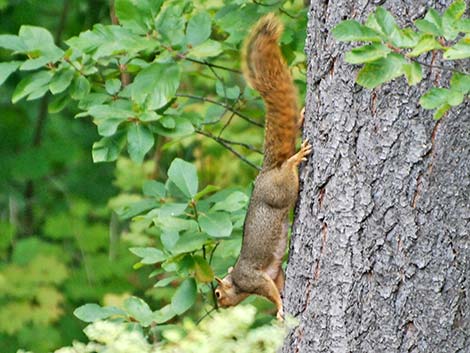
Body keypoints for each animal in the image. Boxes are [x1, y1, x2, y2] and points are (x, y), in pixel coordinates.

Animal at [214, 13, 310, 320]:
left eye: (217, 293)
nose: (218, 307)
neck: (237, 282)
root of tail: (268, 171)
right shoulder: (274, 272)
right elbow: (278, 283)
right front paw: (281, 305)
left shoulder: (253, 278)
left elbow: (269, 292)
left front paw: (278, 308)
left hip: (280, 190)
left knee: (288, 175)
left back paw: (294, 159)